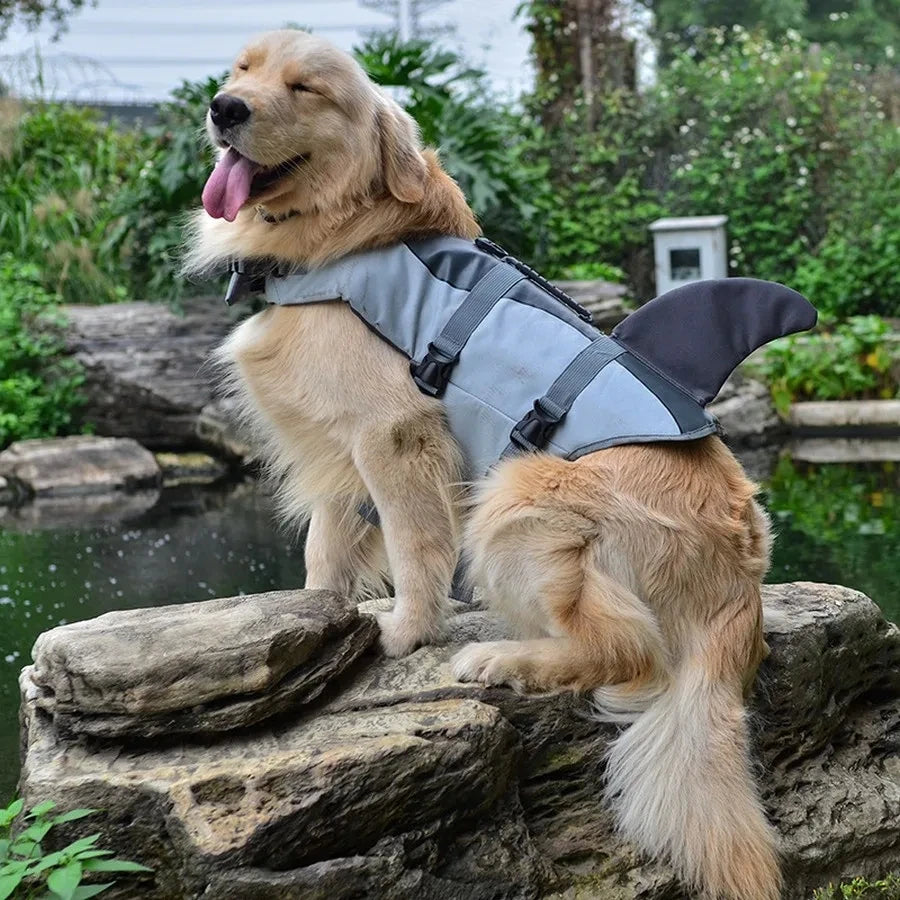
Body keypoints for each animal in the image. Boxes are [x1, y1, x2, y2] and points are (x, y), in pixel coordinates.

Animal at [188, 29, 780, 900]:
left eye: (305, 88)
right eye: (242, 70)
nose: (225, 108)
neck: (346, 236)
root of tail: (741, 582)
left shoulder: (393, 433)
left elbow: (411, 544)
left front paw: (404, 630)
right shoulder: (336, 454)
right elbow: (327, 549)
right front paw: (320, 618)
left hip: (518, 496)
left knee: (626, 651)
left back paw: (502, 657)